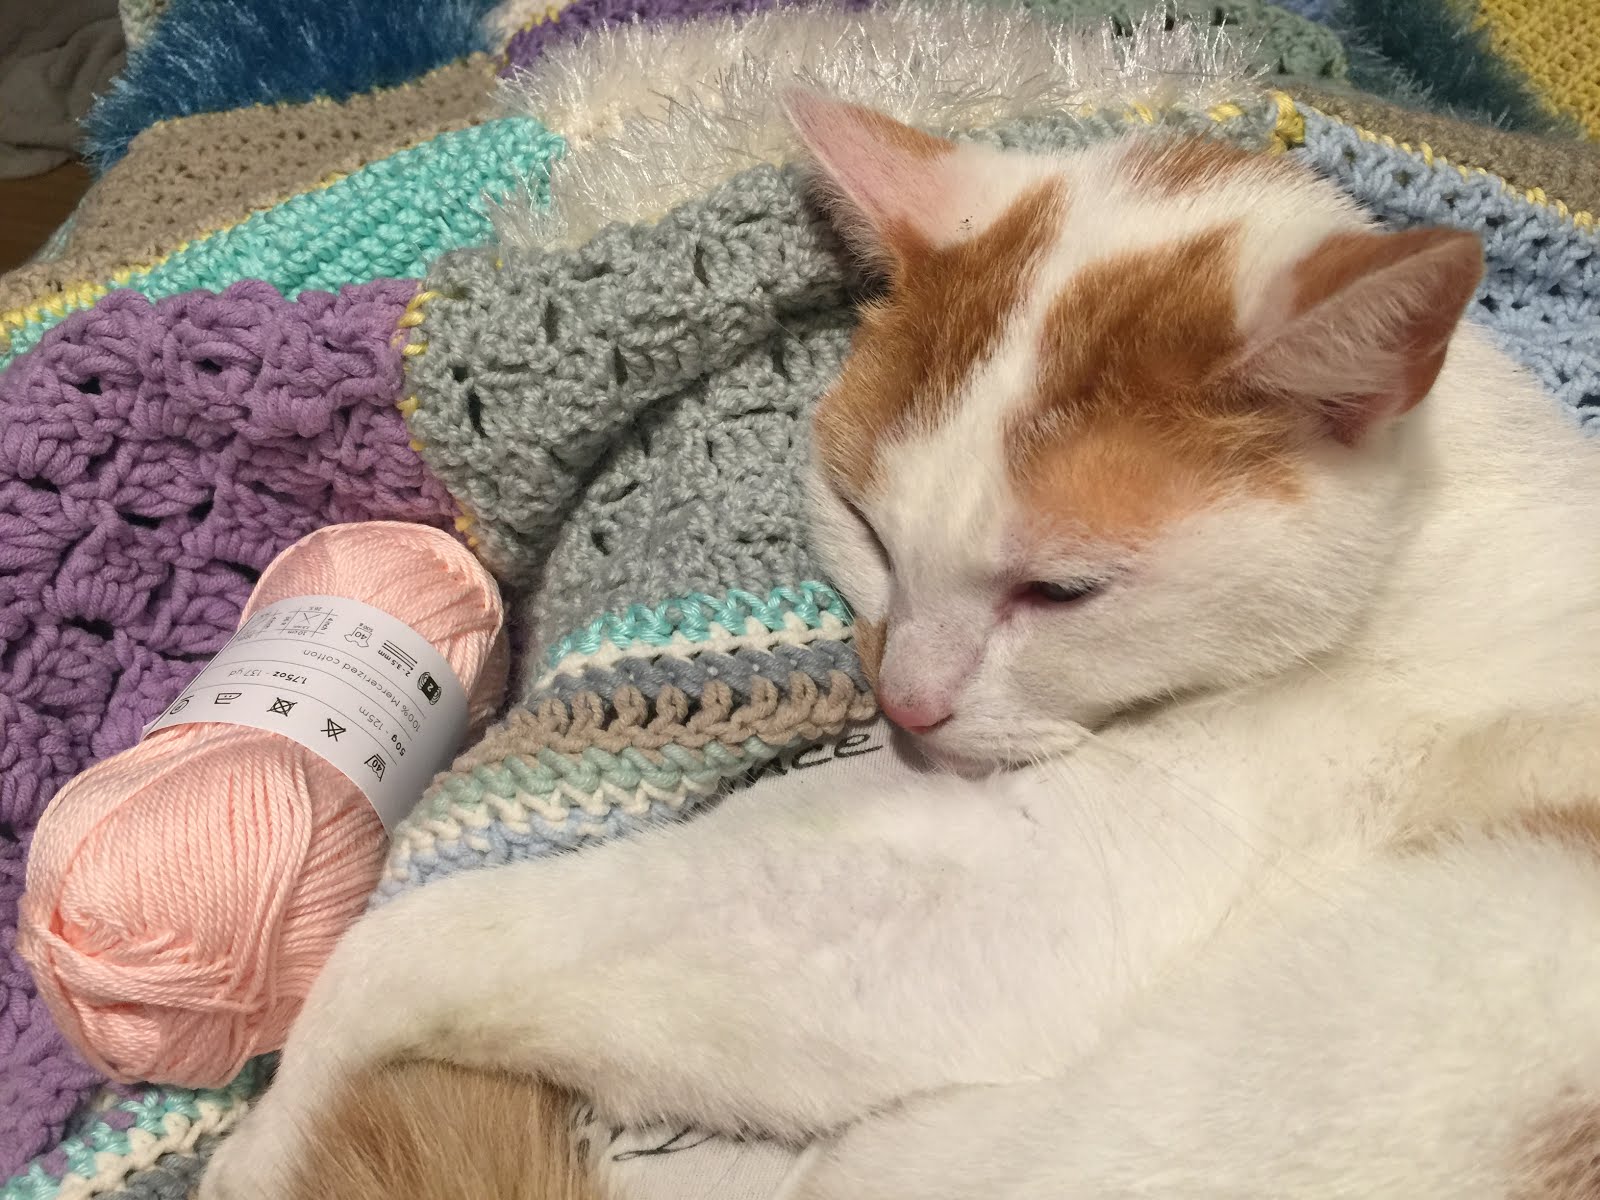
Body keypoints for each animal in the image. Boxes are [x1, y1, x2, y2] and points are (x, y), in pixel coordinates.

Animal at [199, 90, 1600, 1200]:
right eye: (868, 527)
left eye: (1060, 591)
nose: (909, 706)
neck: (1429, 533)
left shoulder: (1028, 906)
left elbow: (412, 945)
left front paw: (266, 1136)